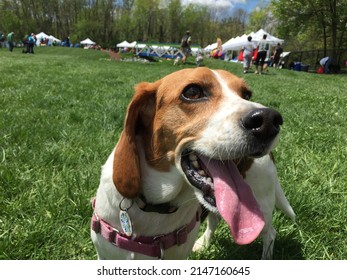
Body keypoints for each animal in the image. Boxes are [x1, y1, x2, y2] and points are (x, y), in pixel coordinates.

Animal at [91, 66, 294, 260]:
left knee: (270, 233)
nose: (269, 120)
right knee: (215, 220)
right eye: (192, 92)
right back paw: (204, 243)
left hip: (262, 203)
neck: (156, 207)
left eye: (246, 94)